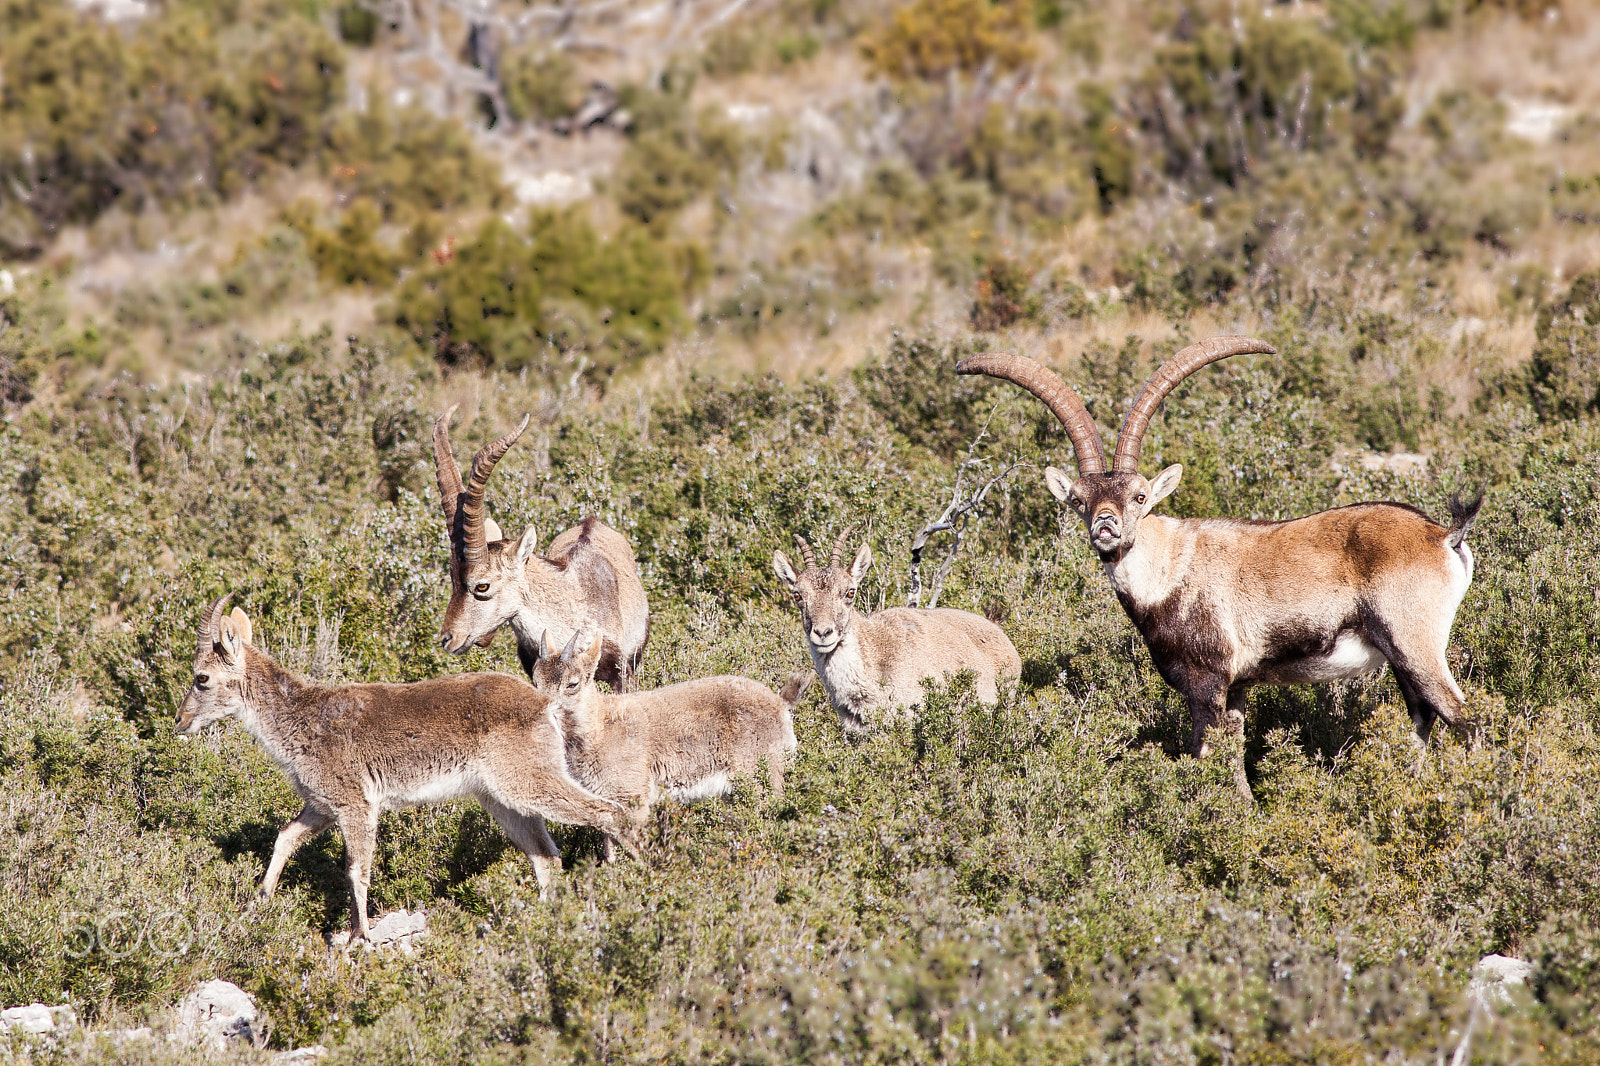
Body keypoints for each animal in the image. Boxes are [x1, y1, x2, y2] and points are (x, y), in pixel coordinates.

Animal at [174, 595, 632, 941]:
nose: (179, 721)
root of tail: (545, 706)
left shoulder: (356, 804)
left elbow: (356, 870)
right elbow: (284, 838)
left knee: (608, 812)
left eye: (201, 677)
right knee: (547, 856)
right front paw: (260, 900)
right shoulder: (322, 805)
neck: (301, 718)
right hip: (503, 800)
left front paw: (360, 937)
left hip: (529, 781)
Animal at [530, 628, 807, 855]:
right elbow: (608, 845)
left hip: (764, 777)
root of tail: (782, 703)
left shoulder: (633, 797)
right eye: (535, 681)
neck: (600, 730)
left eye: (572, 684)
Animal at [958, 337, 1483, 794]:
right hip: (1402, 656)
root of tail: (1443, 536)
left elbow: (1210, 753)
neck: (1170, 570)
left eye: (1140, 496)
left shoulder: (1206, 680)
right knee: (1423, 715)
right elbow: (1229, 752)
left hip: (1414, 640)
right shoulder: (1235, 688)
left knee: (1465, 718)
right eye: (1079, 500)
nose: (1106, 526)